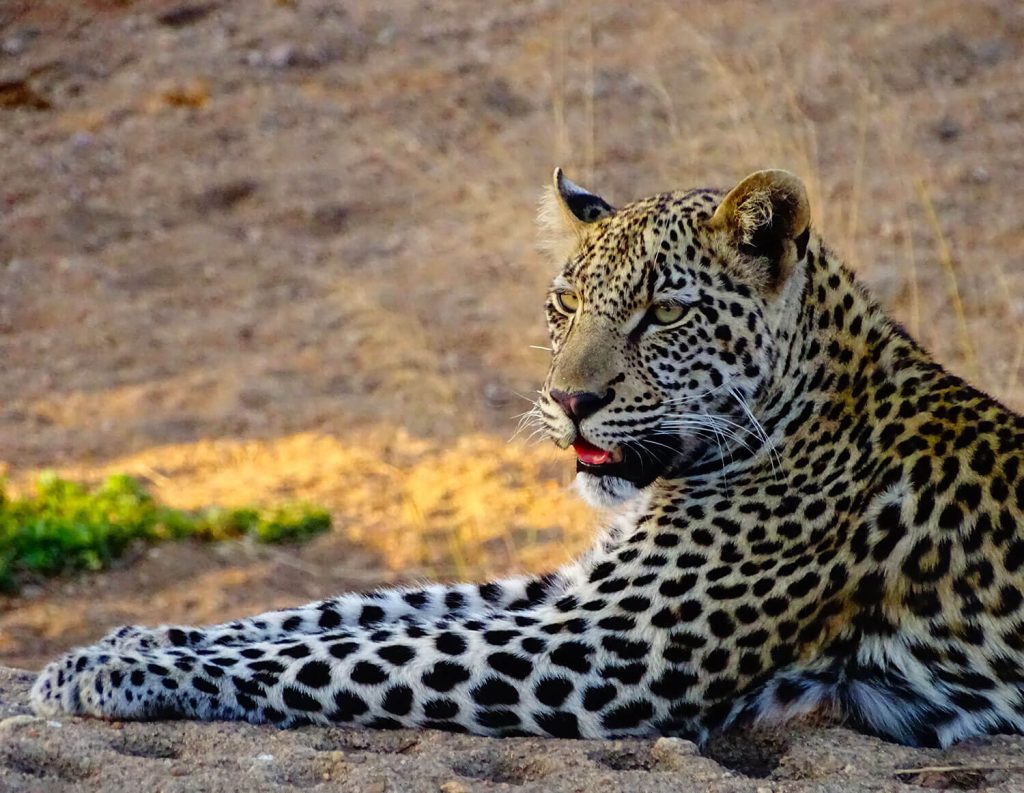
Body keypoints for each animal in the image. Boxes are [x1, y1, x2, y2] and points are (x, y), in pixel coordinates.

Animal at [30, 168, 1024, 749]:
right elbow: (346, 613)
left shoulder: (612, 645)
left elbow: (352, 653)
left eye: (665, 313)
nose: (570, 400)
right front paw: (130, 638)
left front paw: (109, 671)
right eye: (566, 304)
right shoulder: (574, 591)